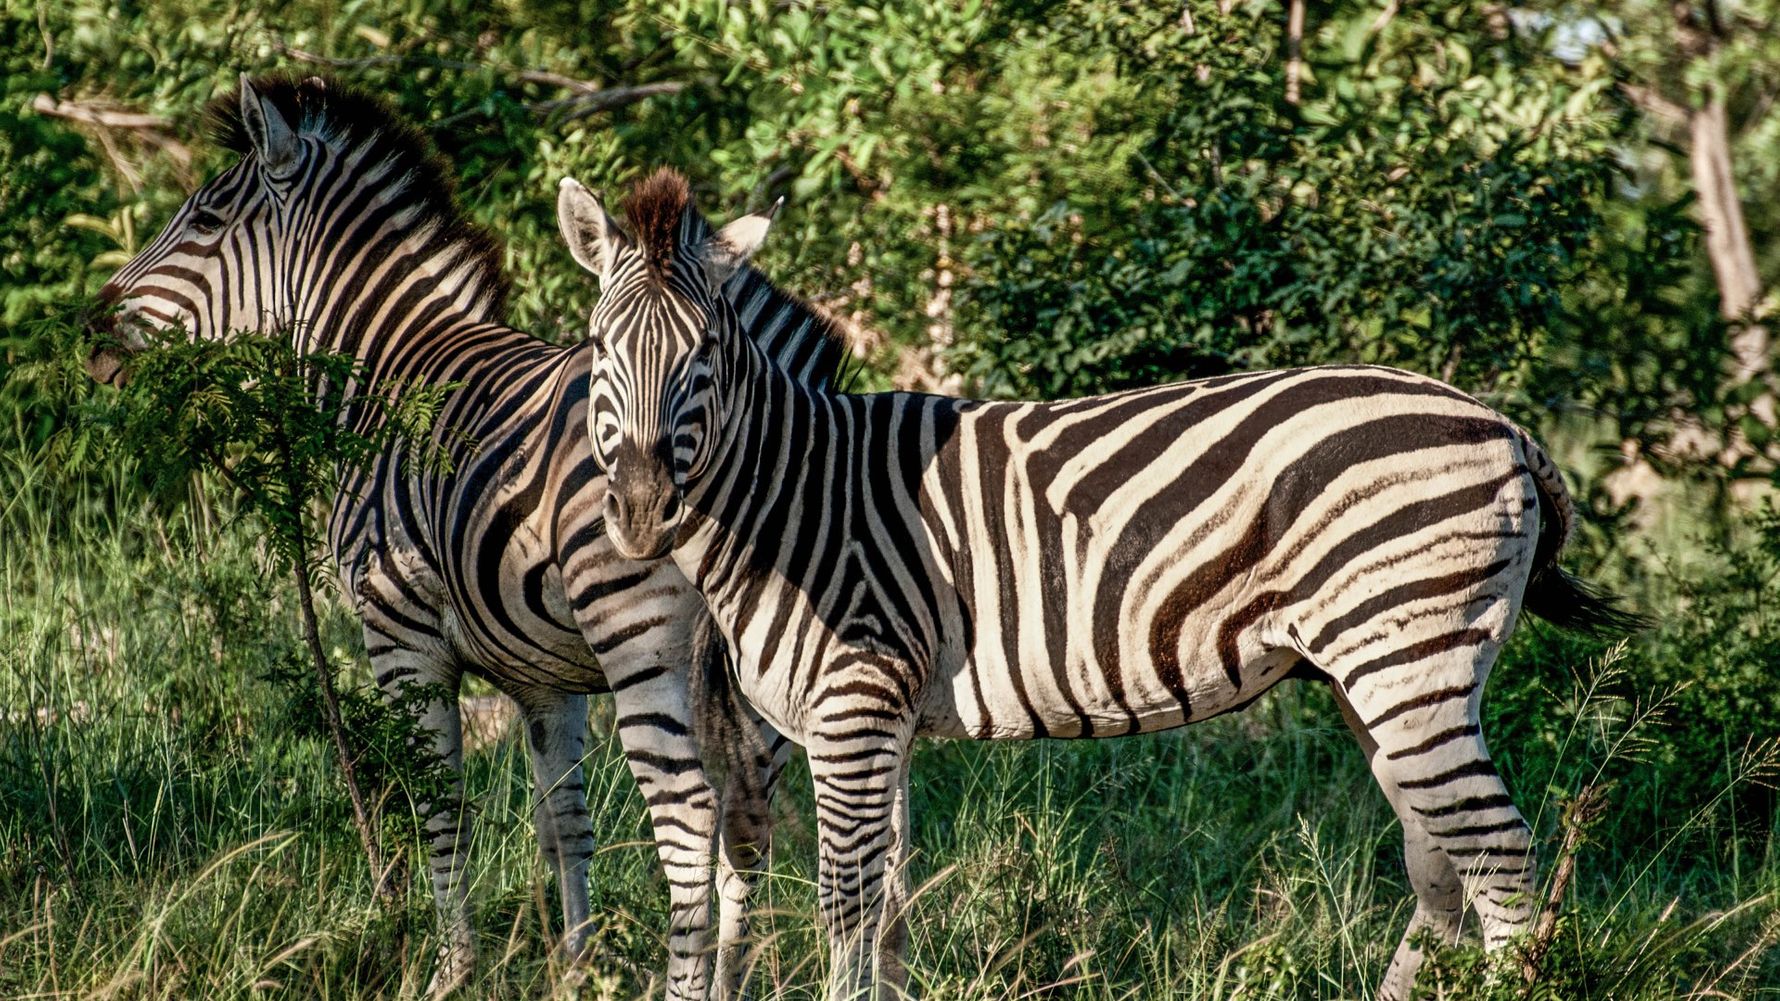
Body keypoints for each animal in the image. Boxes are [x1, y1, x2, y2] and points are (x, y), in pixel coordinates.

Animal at [87, 76, 837, 998]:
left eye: (202, 218)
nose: (90, 330)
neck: (387, 376)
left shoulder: (400, 636)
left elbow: (439, 807)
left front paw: (452, 968)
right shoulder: (546, 675)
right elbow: (564, 818)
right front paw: (574, 963)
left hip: (639, 636)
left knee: (693, 815)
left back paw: (685, 982)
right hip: (766, 664)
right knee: (747, 821)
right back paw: (729, 977)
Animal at [554, 168, 1642, 1001]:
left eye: (704, 355)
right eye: (602, 350)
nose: (641, 510)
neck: (794, 496)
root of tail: (1503, 425)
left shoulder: (854, 704)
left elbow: (849, 905)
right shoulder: (881, 718)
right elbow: (890, 905)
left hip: (1408, 654)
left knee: (1499, 856)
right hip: (1378, 672)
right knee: (1442, 862)